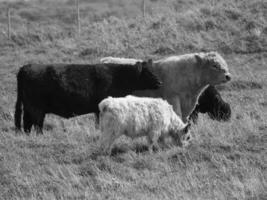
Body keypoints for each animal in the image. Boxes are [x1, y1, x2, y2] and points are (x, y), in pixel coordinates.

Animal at [15, 59, 161, 134]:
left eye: (154, 70)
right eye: (148, 72)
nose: (160, 83)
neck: (118, 76)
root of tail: (25, 67)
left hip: (29, 107)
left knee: (27, 124)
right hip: (36, 108)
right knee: (37, 124)